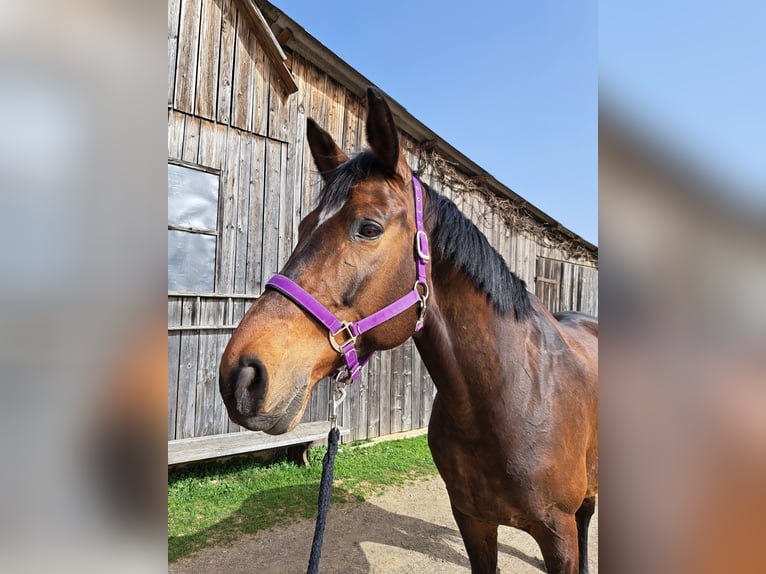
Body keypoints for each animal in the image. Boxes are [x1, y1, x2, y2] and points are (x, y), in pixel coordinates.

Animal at [222, 88, 600, 572]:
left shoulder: (558, 535)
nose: (241, 376)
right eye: (305, 226)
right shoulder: (473, 521)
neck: (508, 397)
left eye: (369, 227)